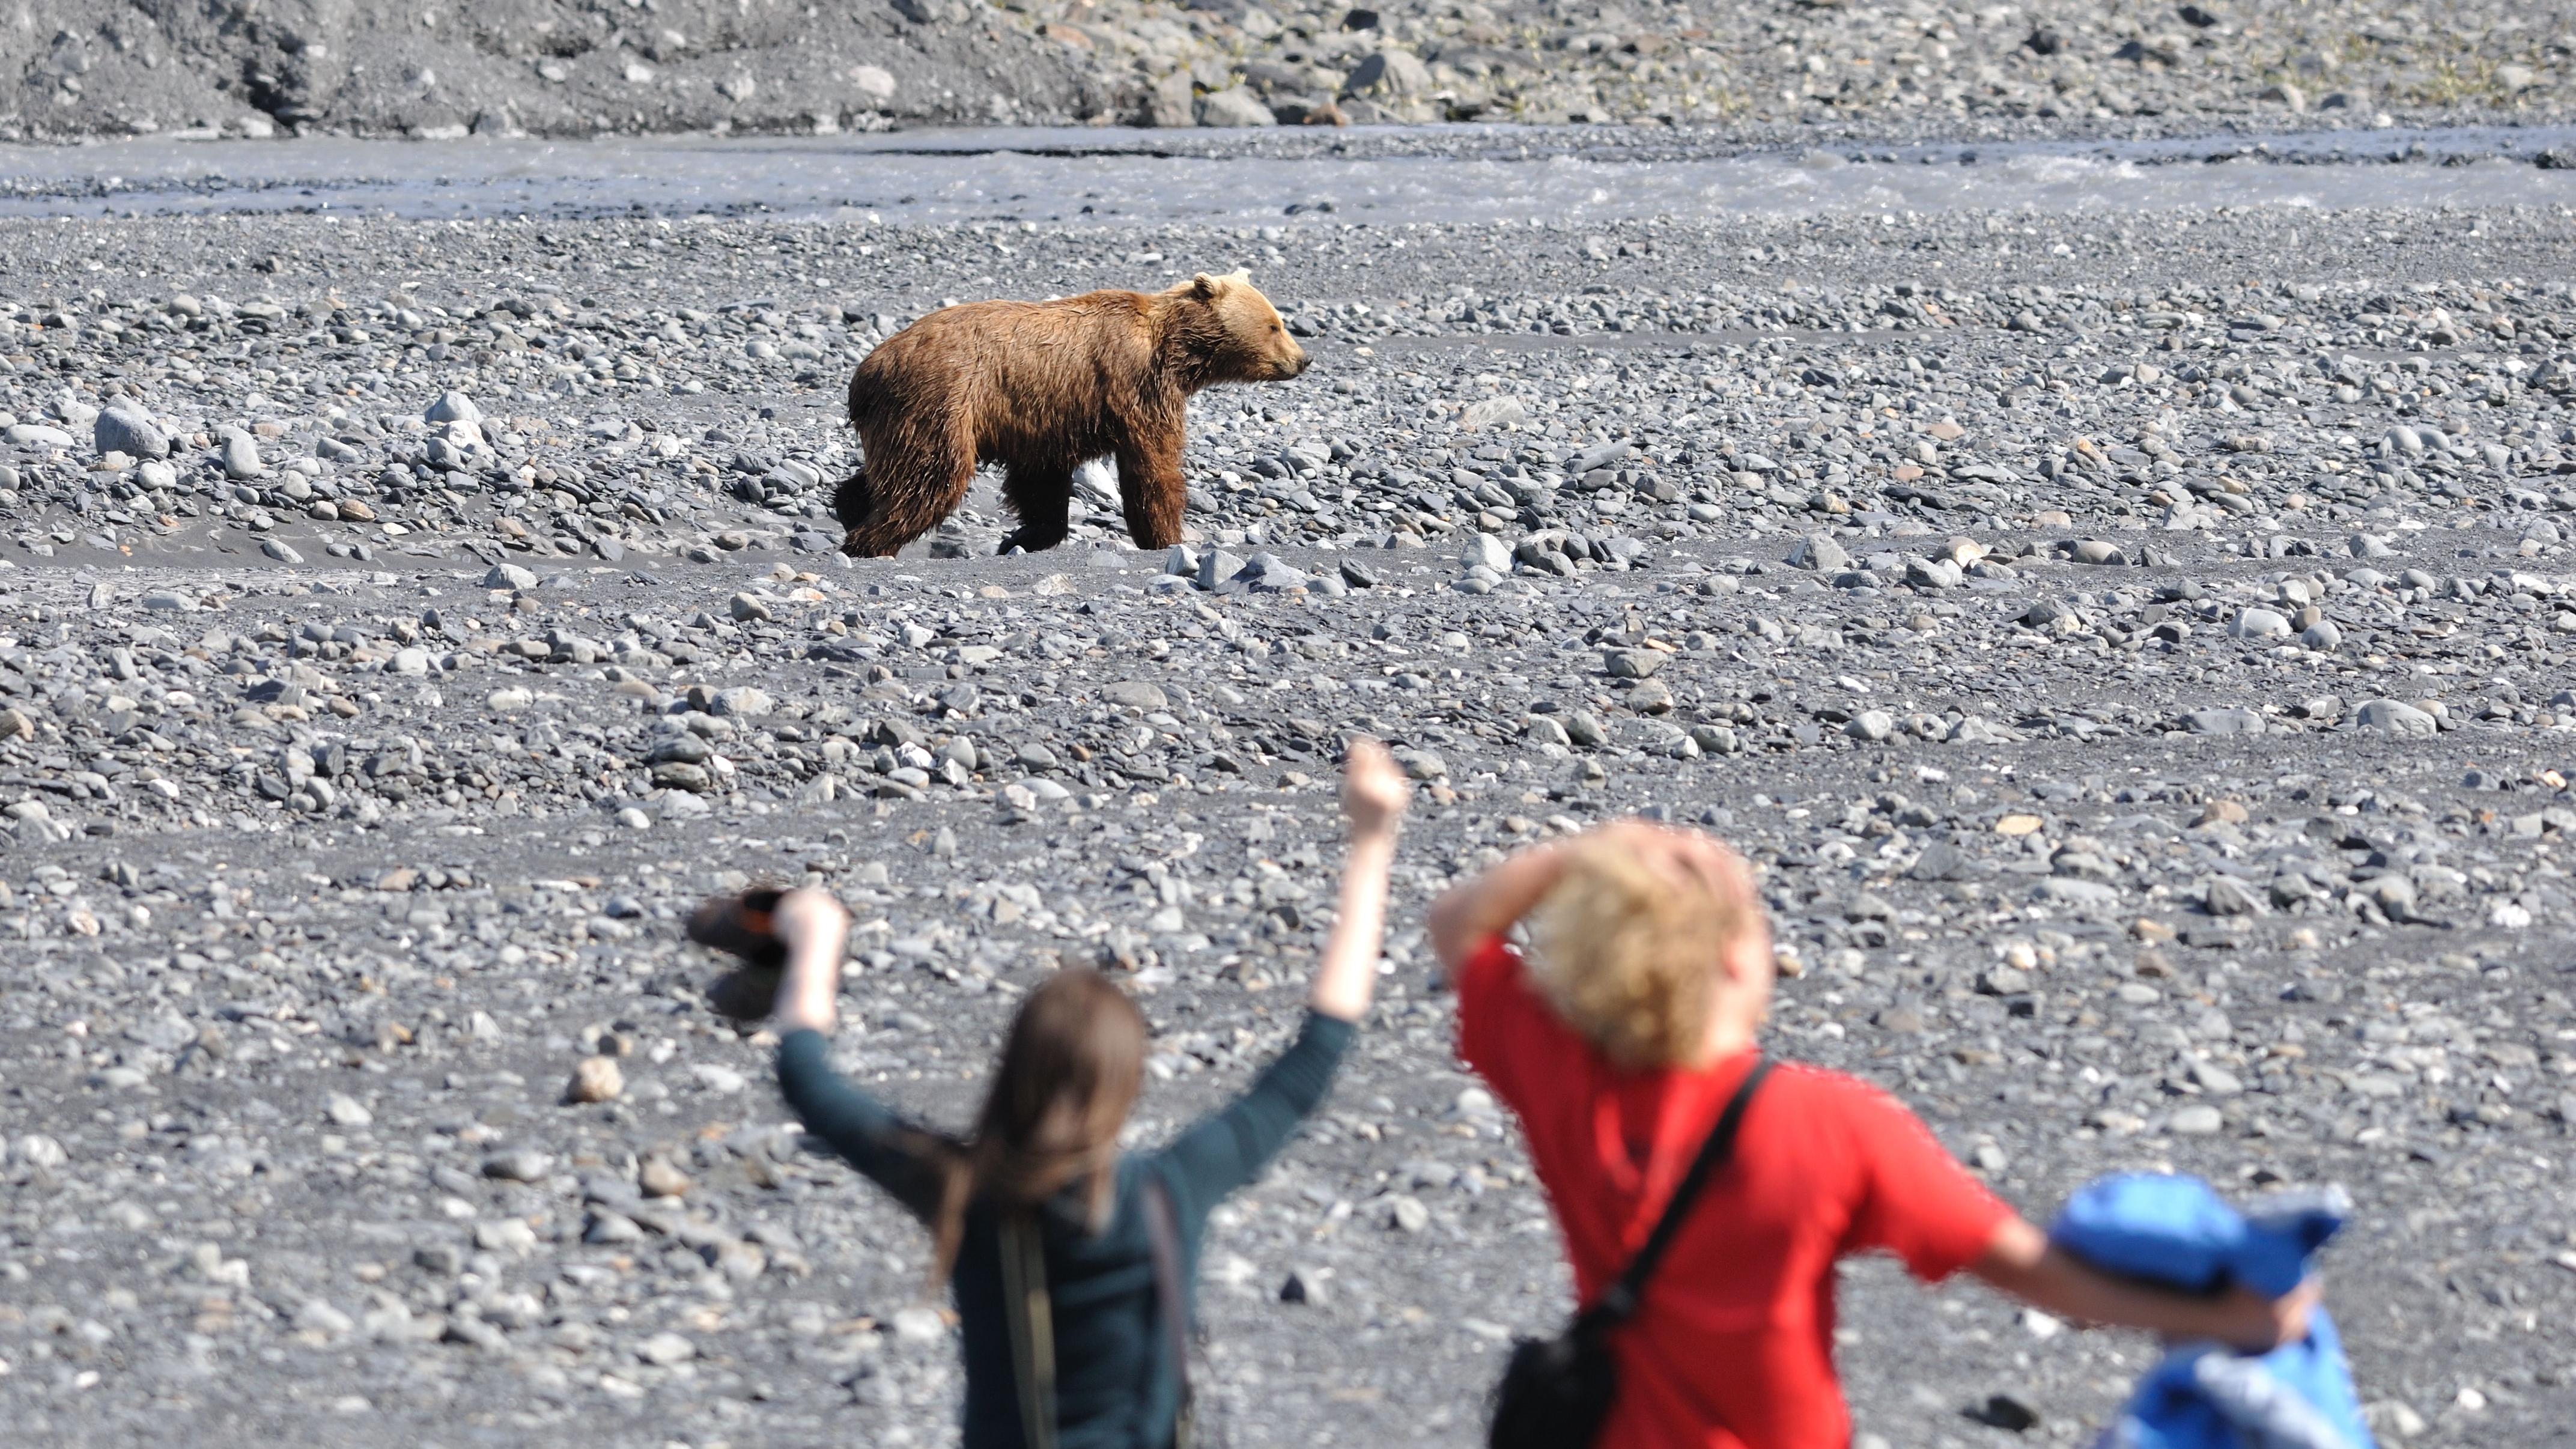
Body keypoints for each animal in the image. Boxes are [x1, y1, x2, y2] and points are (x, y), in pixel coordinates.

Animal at [832, 271, 1307, 558]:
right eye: (1274, 325)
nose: (1304, 359)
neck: (1176, 353)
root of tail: (868, 369)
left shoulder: (1048, 415)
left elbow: (1041, 481)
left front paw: (1025, 537)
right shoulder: (1135, 386)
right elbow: (1153, 467)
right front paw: (1167, 536)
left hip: (900, 416)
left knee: (896, 469)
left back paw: (850, 506)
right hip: (939, 399)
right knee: (932, 475)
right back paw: (870, 541)